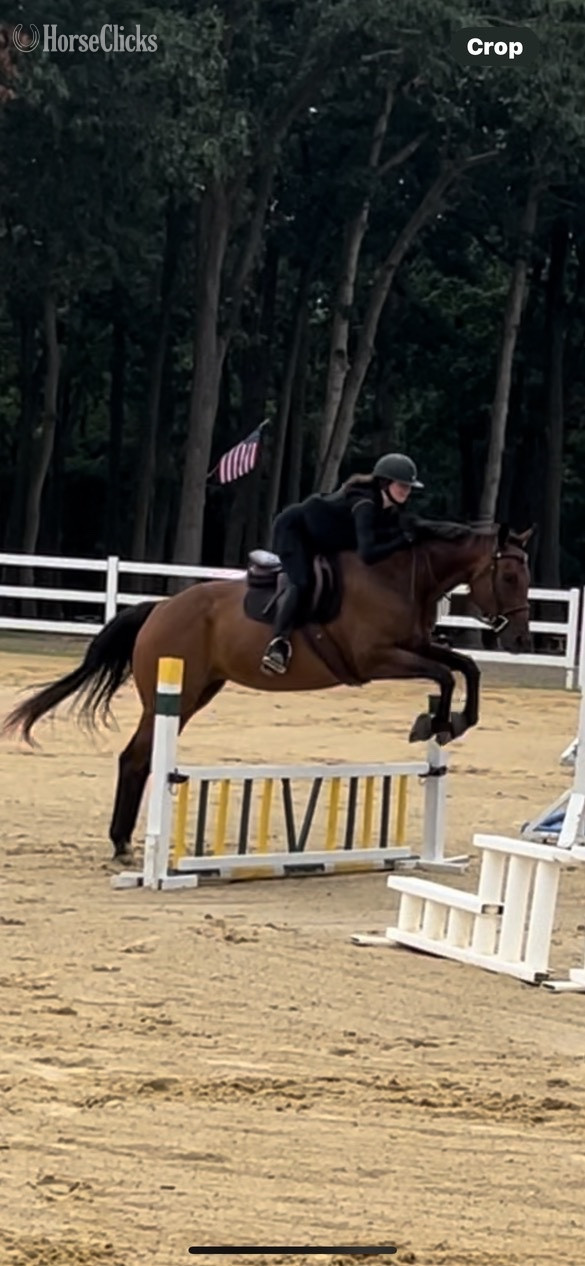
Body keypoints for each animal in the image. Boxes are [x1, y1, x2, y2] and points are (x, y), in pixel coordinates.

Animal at [2, 521, 533, 863]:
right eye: (509, 575)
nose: (519, 639)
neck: (398, 576)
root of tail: (159, 608)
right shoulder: (377, 659)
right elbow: (445, 675)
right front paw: (435, 722)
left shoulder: (417, 646)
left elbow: (465, 668)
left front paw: (454, 721)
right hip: (173, 696)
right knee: (135, 758)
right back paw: (122, 845)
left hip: (199, 693)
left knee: (139, 757)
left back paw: (123, 843)